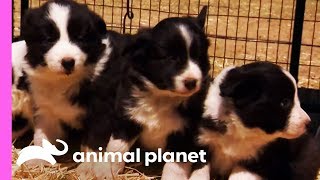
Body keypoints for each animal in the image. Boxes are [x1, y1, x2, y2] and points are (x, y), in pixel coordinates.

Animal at [18, 0, 109, 149]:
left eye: (80, 38)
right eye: (48, 39)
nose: (68, 62)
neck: (63, 81)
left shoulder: (100, 113)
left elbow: (94, 144)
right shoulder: (46, 111)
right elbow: (42, 139)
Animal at [77, 6, 210, 179]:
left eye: (199, 57)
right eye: (171, 58)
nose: (192, 82)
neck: (163, 97)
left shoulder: (184, 135)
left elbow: (175, 167)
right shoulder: (128, 119)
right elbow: (116, 147)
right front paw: (105, 171)